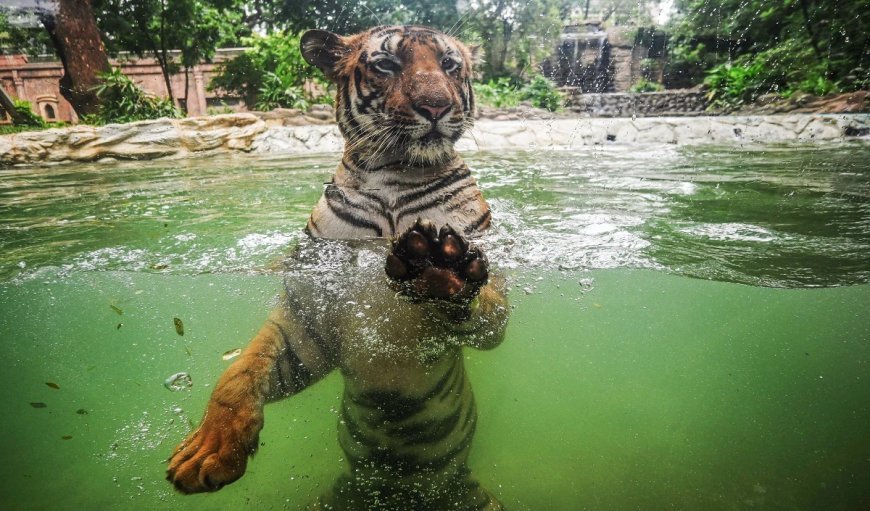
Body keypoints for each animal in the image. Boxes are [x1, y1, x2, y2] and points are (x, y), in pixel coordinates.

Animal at [166, 26, 510, 510]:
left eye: (449, 65)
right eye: (387, 65)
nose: (436, 106)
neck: (395, 175)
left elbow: (484, 305)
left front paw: (440, 265)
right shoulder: (309, 317)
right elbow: (239, 372)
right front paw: (207, 452)